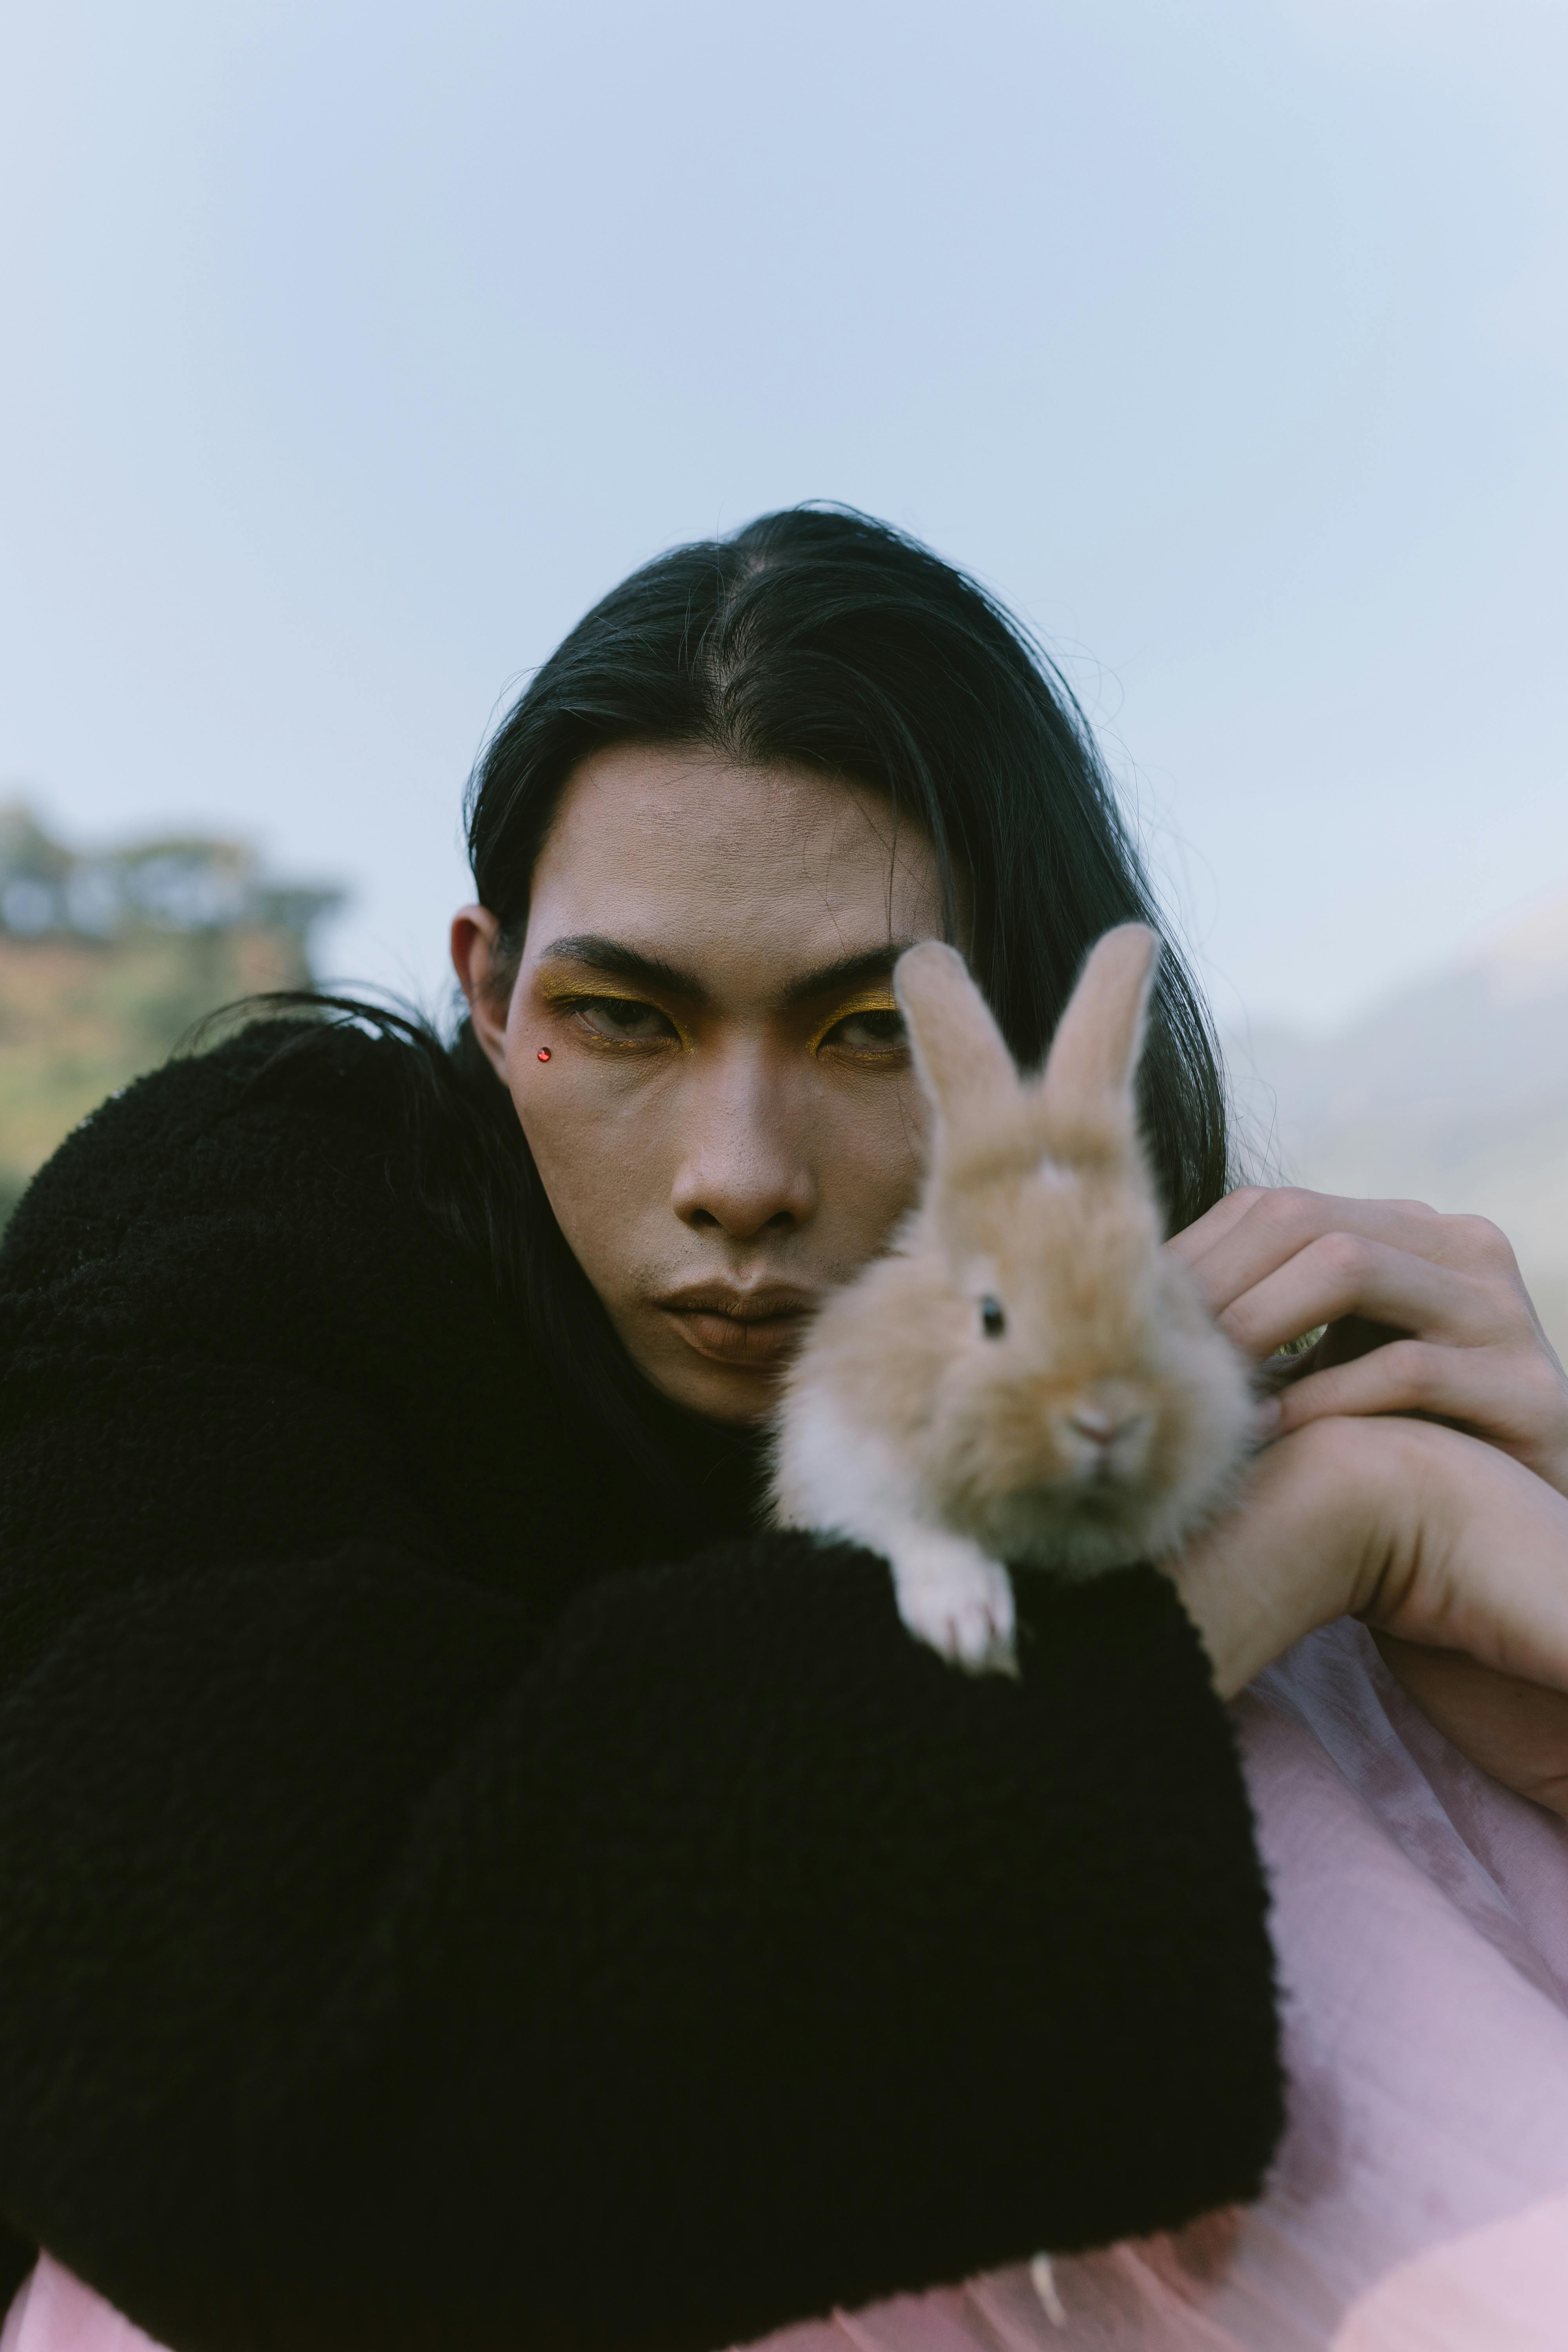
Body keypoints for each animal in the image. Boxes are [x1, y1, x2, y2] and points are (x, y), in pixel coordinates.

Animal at [771, 917, 1260, 1675]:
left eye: (1157, 1302)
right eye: (990, 1316)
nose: (1105, 1422)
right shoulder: (838, 1465)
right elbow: (915, 1528)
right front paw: (969, 1628)